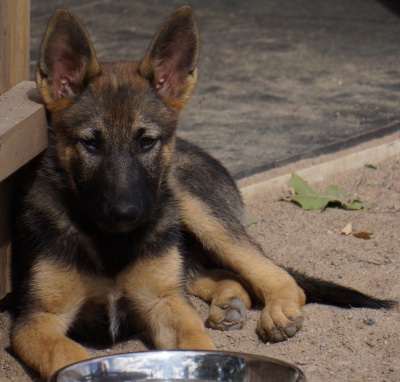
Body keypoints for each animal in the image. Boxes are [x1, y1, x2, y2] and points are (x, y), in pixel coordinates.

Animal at [6, 5, 394, 380]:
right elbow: (66, 354)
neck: (111, 244)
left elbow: (196, 343)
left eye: (147, 141)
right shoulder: (38, 320)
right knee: (217, 275)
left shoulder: (164, 302)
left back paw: (276, 310)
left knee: (271, 274)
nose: (126, 213)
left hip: (196, 211)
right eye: (90, 143)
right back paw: (230, 302)